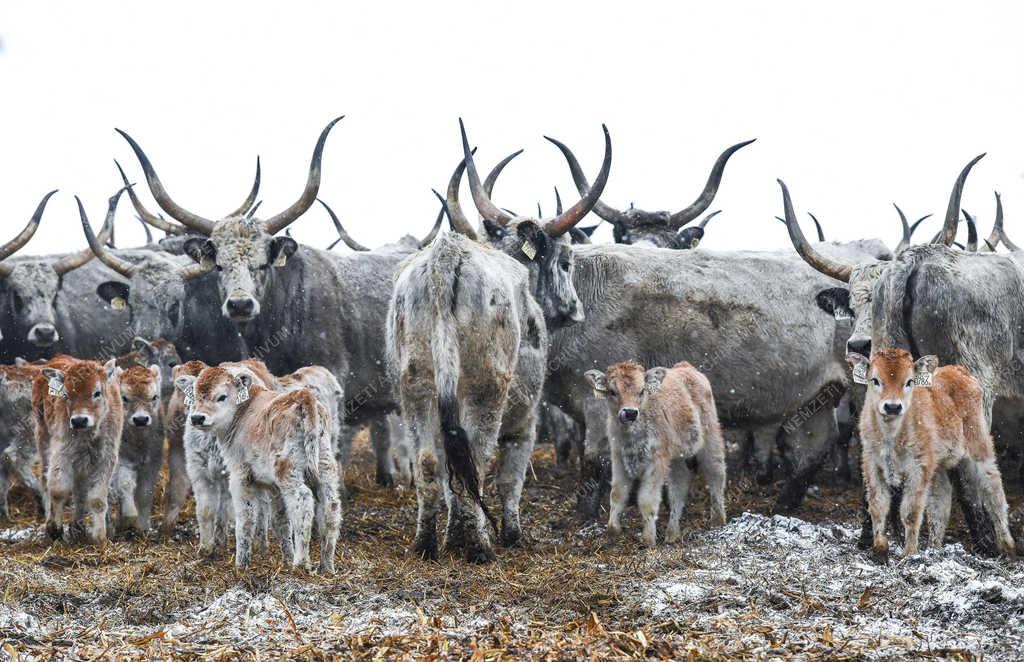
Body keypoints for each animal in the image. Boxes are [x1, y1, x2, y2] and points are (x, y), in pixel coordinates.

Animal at [174, 364, 337, 573]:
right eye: (194, 395)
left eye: (222, 396)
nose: (197, 418)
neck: (244, 411)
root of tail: (302, 396)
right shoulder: (270, 486)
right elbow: (279, 521)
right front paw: (284, 558)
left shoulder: (240, 476)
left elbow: (245, 518)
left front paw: (241, 563)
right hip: (325, 468)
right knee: (331, 508)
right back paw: (326, 566)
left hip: (289, 473)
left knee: (303, 503)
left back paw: (300, 563)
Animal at [385, 120, 606, 565]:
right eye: (565, 262)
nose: (575, 309)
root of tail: (447, 256)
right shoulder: (527, 419)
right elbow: (511, 477)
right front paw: (510, 533)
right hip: (486, 389)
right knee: (480, 457)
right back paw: (479, 546)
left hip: (415, 387)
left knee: (430, 463)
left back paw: (428, 543)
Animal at [585, 360, 729, 549]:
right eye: (612, 391)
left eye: (641, 391)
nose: (630, 412)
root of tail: (686, 367)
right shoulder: (618, 458)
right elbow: (617, 494)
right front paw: (612, 532)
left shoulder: (655, 462)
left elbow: (647, 499)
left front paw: (648, 539)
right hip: (676, 459)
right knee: (679, 488)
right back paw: (672, 534)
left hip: (711, 439)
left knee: (716, 474)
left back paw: (718, 521)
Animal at [847, 350, 1015, 561]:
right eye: (875, 380)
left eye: (909, 381)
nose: (892, 407)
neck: (891, 435)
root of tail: (957, 370)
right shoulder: (872, 466)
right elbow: (878, 506)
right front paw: (879, 548)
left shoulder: (918, 469)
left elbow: (910, 511)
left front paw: (909, 552)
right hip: (938, 466)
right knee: (940, 501)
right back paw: (933, 547)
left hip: (979, 447)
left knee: (993, 489)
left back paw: (1007, 545)